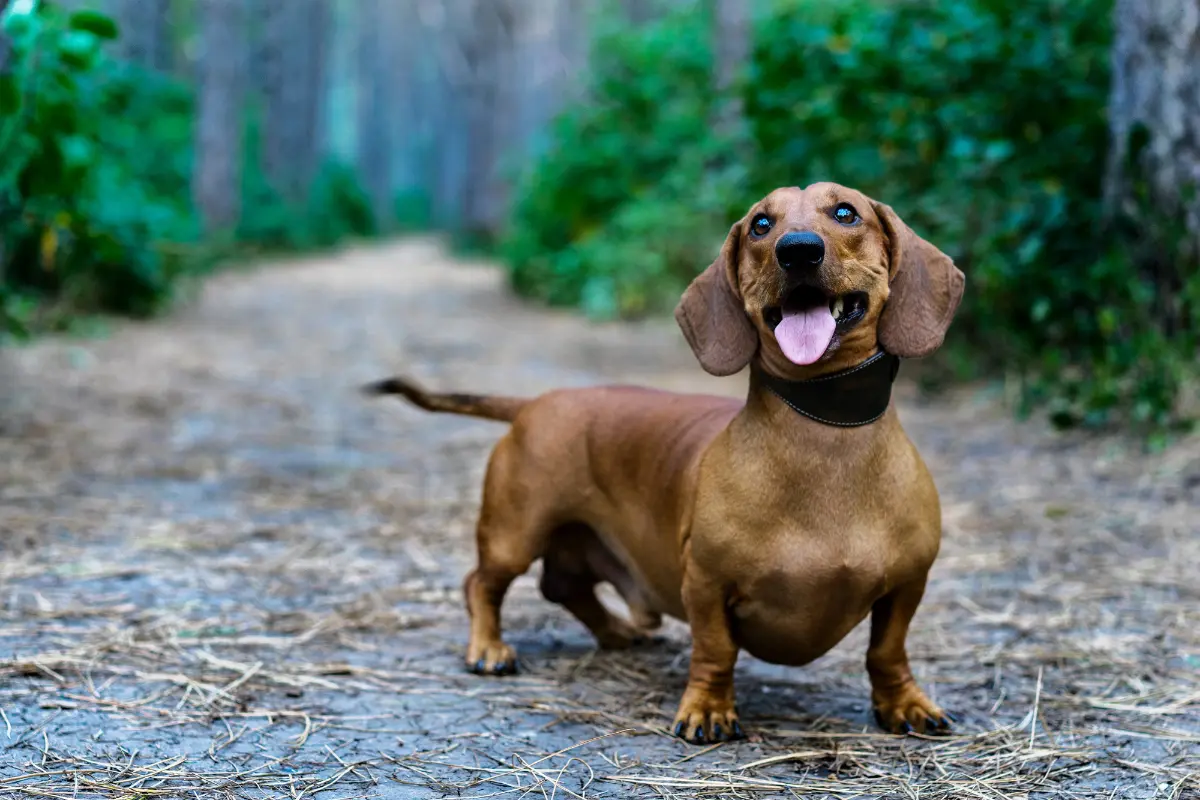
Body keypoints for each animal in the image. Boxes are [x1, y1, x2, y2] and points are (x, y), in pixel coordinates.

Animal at [364, 183, 964, 743]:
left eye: (846, 212)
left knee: (563, 586)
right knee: (482, 584)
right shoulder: (705, 582)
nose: (797, 250)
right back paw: (489, 648)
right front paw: (708, 710)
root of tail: (535, 402)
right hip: (515, 532)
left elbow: (887, 650)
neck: (825, 432)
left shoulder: (909, 584)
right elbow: (716, 650)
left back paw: (615, 632)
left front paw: (904, 705)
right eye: (760, 224)